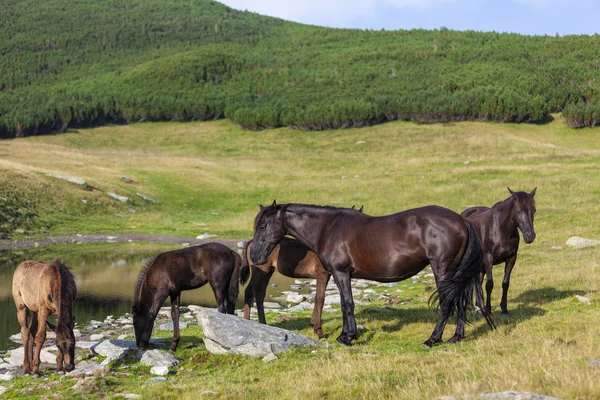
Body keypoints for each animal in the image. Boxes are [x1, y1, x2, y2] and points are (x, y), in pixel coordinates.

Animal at [251, 202, 494, 348]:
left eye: (263, 226)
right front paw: (347, 334)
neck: (328, 228)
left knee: (446, 303)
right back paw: (456, 337)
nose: (254, 255)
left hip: (443, 270)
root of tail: (463, 221)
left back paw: (432, 339)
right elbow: (345, 303)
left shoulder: (341, 273)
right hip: (456, 274)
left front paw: (347, 337)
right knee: (459, 301)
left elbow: (347, 304)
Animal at [462, 188, 536, 316]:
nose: (530, 236)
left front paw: (504, 309)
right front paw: (488, 309)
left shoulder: (511, 258)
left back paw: (476, 307)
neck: (501, 229)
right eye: (518, 210)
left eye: (534, 210)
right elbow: (489, 284)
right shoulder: (488, 258)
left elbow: (505, 283)